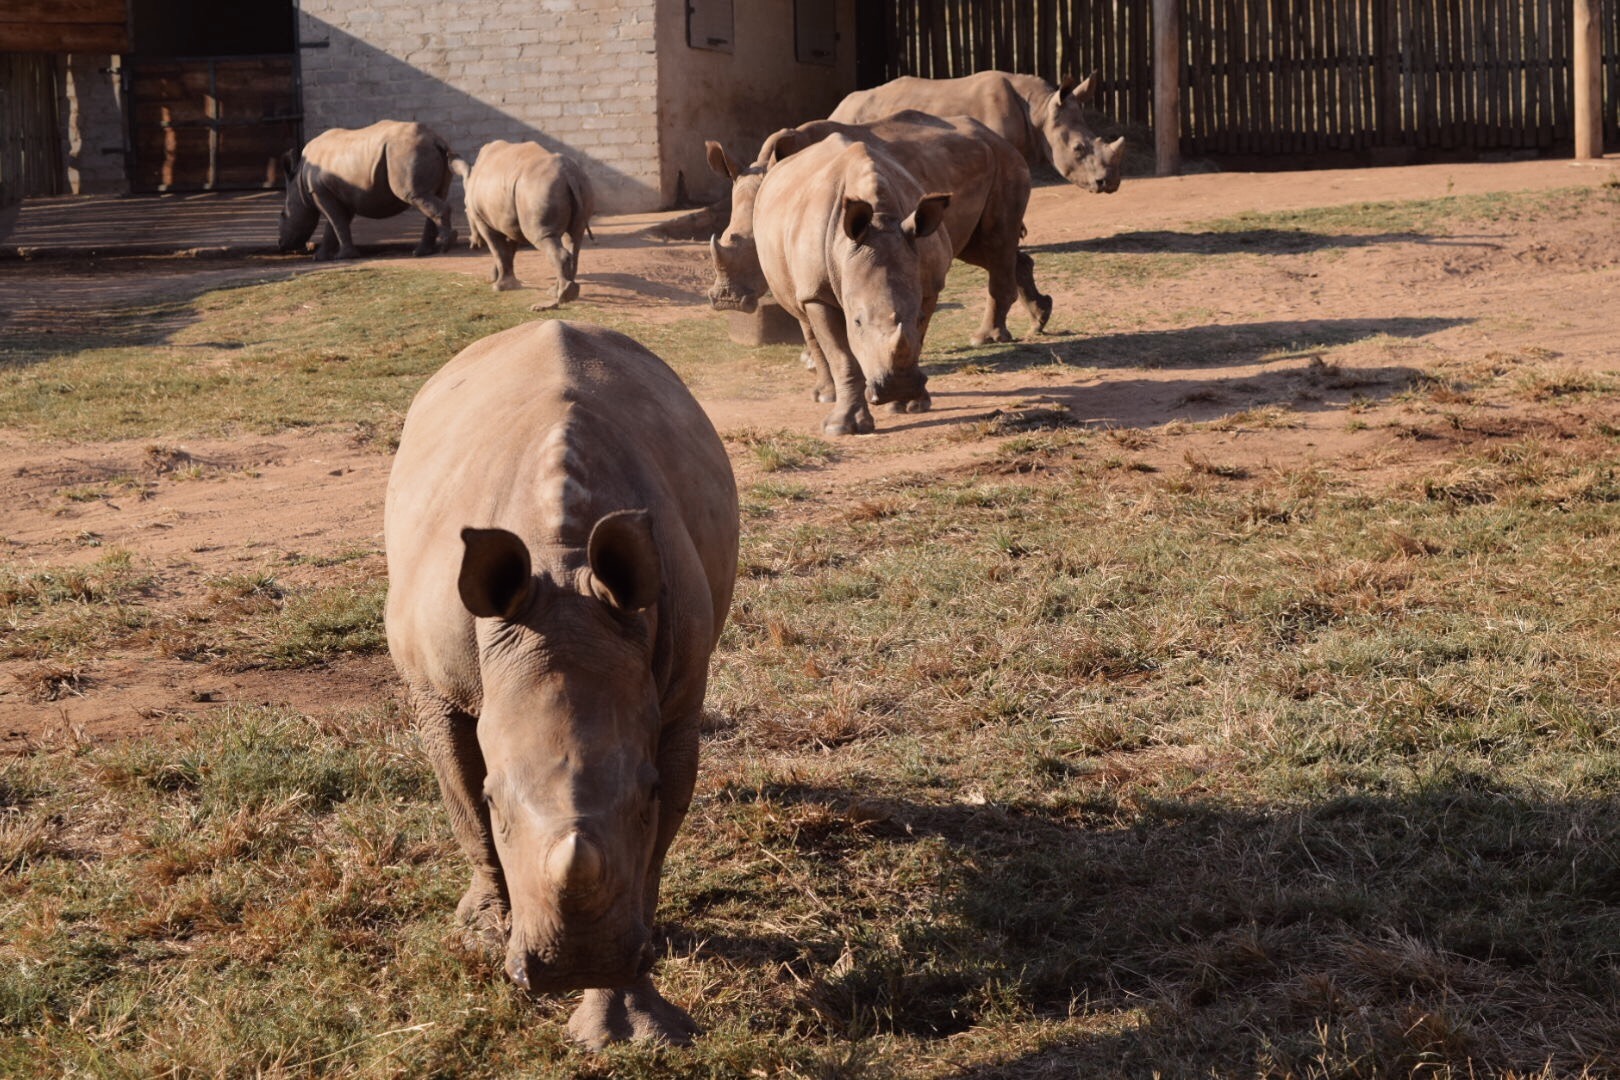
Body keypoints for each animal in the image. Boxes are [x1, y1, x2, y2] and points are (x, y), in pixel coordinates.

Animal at [279, 120, 458, 259]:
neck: (298, 182)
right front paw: (322, 257)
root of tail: (436, 139)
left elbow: (336, 221)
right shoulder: (346, 194)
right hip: (424, 151)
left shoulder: (319, 191)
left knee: (415, 195)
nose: (281, 245)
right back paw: (423, 252)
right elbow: (336, 224)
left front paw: (343, 257)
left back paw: (445, 246)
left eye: (283, 215)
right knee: (433, 196)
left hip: (408, 152)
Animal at [384, 319, 738, 1048]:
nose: (571, 964)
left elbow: (646, 859)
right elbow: (461, 800)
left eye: (646, 797)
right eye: (497, 801)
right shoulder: (438, 689)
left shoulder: (677, 698)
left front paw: (627, 1024)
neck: (562, 567)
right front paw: (489, 930)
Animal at [452, 140, 595, 310]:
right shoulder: (509, 220)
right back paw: (560, 292)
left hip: (538, 189)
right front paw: (505, 283)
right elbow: (507, 251)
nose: (473, 243)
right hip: (580, 185)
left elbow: (498, 250)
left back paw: (562, 296)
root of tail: (568, 174)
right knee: (573, 237)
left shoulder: (483, 221)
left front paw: (498, 287)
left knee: (541, 236)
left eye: (465, 210)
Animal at [707, 110, 1050, 348]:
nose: (726, 301)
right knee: (985, 249)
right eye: (724, 236)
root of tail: (1000, 139)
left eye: (754, 248)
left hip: (1006, 164)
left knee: (996, 244)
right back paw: (1039, 319)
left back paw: (985, 338)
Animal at [753, 134, 953, 435]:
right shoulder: (818, 292)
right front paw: (841, 428)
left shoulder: (930, 284)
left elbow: (918, 336)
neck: (880, 218)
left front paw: (910, 404)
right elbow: (842, 357)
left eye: (917, 317)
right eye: (856, 321)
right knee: (802, 313)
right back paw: (826, 396)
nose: (897, 386)